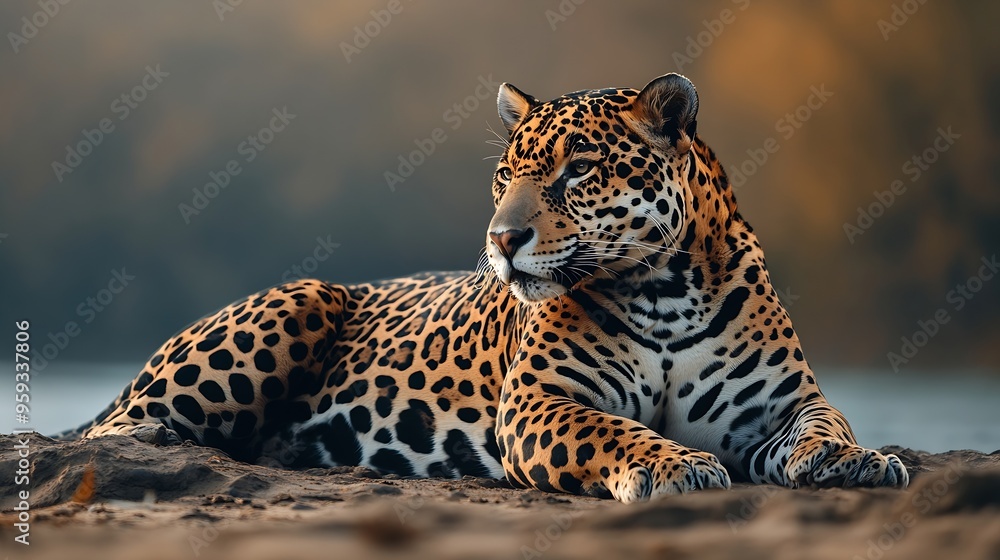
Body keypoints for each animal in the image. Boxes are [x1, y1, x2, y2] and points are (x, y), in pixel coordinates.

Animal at [59, 73, 908, 503]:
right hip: (297, 301)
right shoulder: (538, 404)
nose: (502, 241)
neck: (666, 290)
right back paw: (159, 440)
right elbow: (616, 431)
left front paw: (860, 460)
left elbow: (826, 424)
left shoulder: (785, 403)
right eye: (505, 176)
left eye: (577, 171)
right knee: (104, 434)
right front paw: (674, 465)